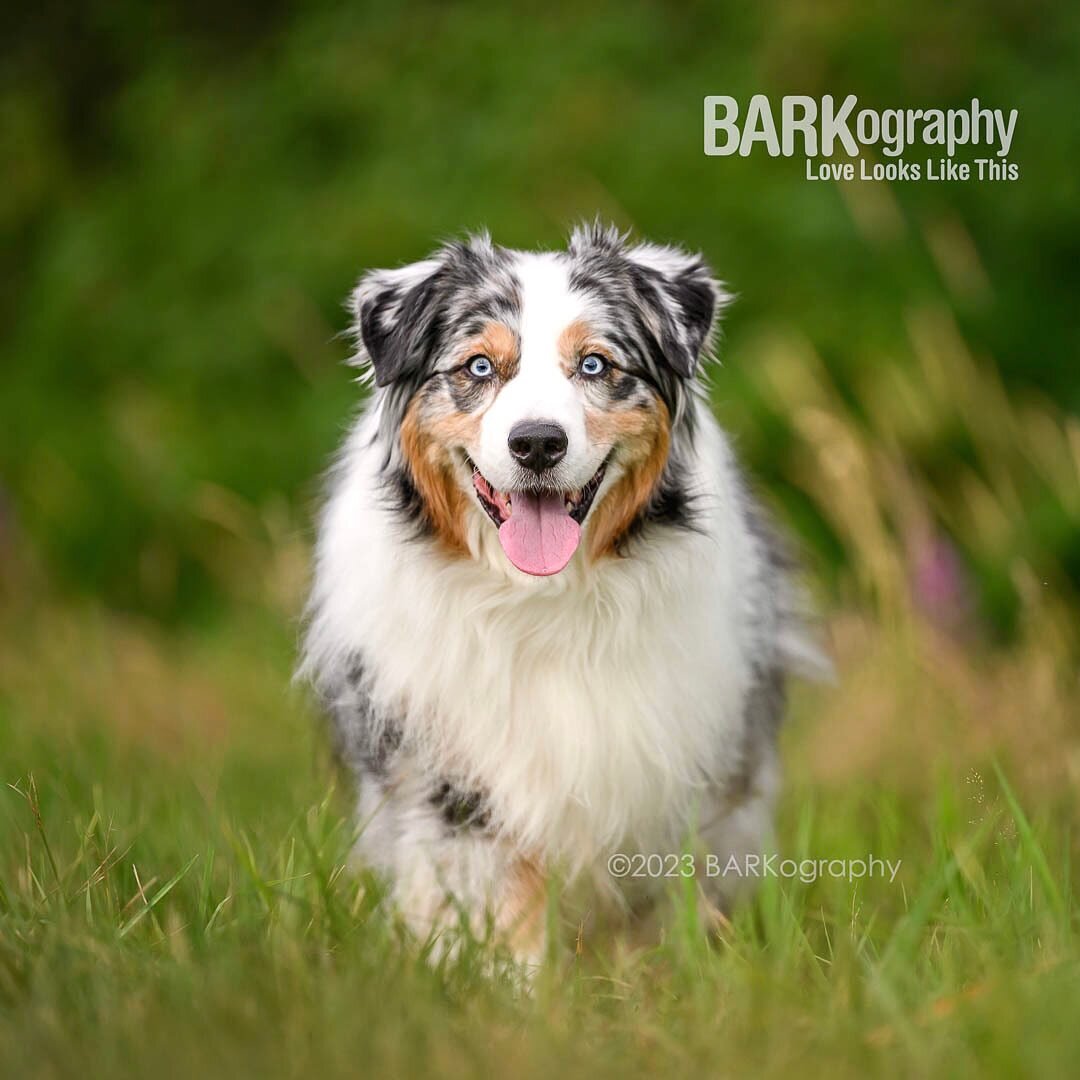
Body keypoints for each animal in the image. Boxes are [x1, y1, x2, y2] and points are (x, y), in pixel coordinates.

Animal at [298, 223, 816, 967]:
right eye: (479, 368)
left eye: (595, 365)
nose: (537, 443)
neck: (541, 603)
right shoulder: (456, 780)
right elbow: (501, 902)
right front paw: (507, 982)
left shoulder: (675, 762)